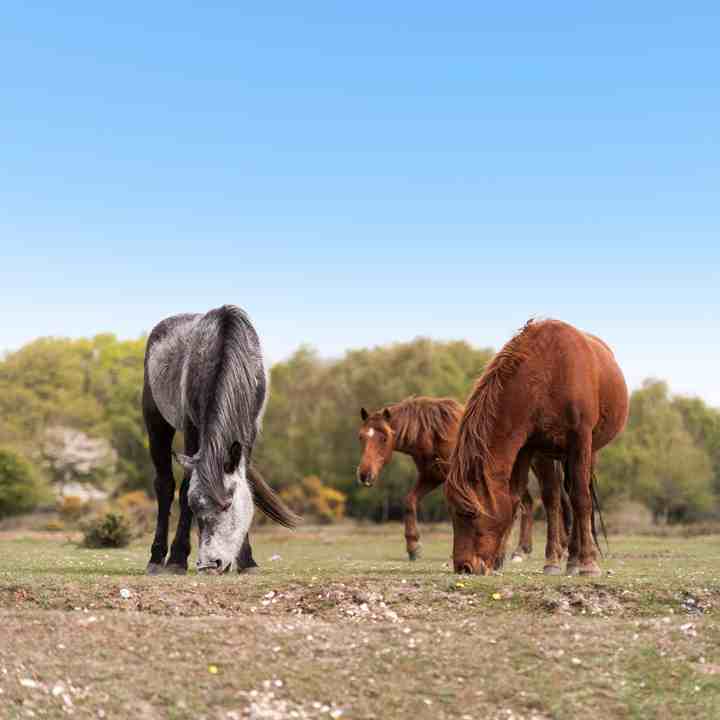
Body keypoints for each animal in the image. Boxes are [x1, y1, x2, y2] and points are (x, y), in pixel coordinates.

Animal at [358, 396, 572, 564]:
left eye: (384, 438)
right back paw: (527, 550)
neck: (433, 434)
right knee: (529, 504)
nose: (364, 475)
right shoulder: (431, 477)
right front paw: (413, 547)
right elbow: (410, 502)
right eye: (361, 437)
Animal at [448, 318, 628, 576]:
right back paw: (570, 558)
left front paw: (589, 563)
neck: (548, 374)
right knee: (561, 496)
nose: (464, 567)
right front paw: (545, 560)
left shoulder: (581, 441)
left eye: (471, 513)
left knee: (579, 494)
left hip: (588, 451)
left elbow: (581, 498)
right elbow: (529, 499)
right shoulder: (531, 450)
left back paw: (579, 558)